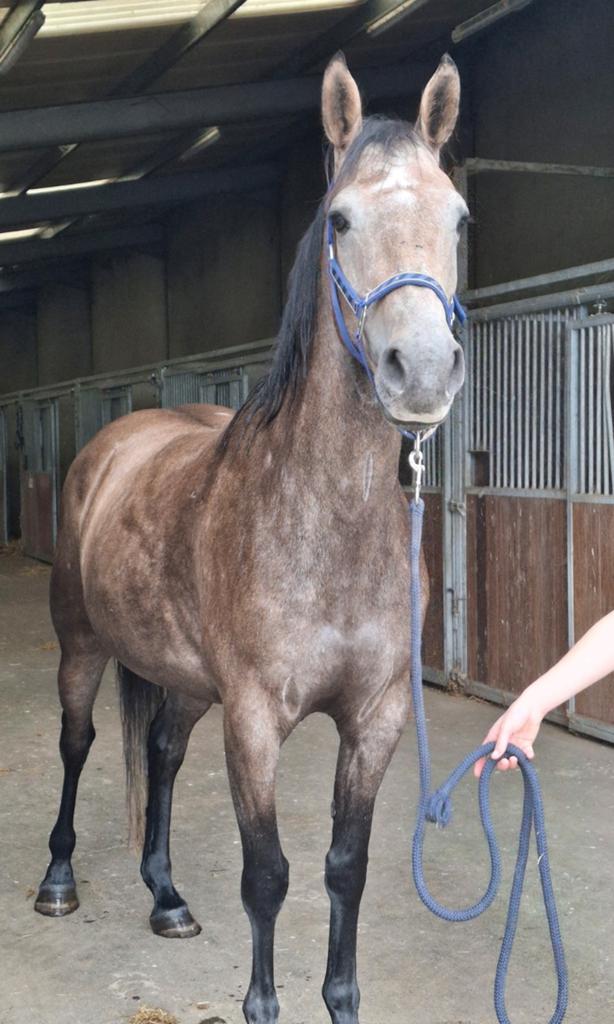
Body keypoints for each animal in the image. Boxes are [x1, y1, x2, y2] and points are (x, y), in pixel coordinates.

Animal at [35, 52, 467, 1024]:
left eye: (459, 215)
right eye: (340, 219)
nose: (421, 372)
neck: (323, 529)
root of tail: (117, 440)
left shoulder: (376, 718)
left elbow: (344, 870)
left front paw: (341, 1000)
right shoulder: (257, 721)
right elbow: (267, 876)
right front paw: (262, 1005)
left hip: (187, 682)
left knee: (161, 754)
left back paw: (165, 898)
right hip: (82, 645)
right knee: (80, 745)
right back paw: (57, 881)